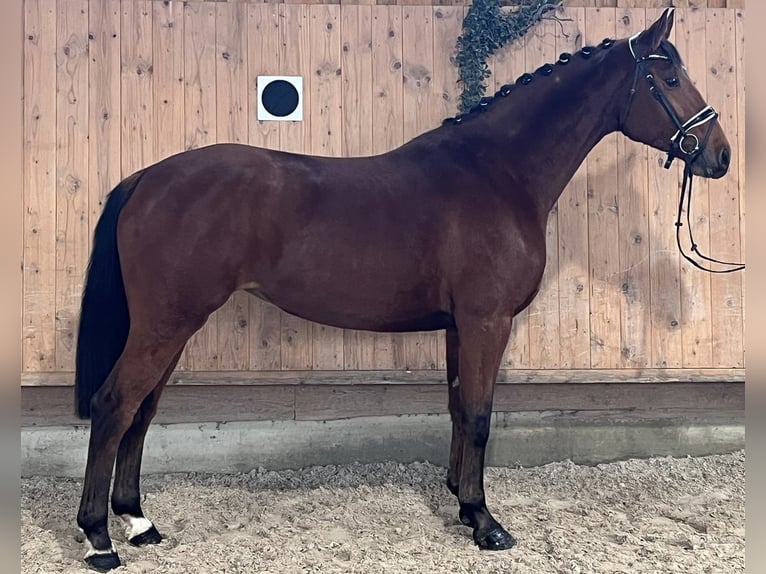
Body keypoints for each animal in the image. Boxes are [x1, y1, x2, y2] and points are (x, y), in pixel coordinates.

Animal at [73, 8, 731, 571]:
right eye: (670, 77)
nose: (720, 156)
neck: (497, 173)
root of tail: (147, 178)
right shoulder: (488, 321)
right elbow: (481, 413)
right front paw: (486, 523)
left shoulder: (460, 326)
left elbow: (459, 408)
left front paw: (461, 500)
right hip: (166, 322)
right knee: (115, 405)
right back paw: (100, 540)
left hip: (172, 324)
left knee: (142, 411)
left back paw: (139, 523)